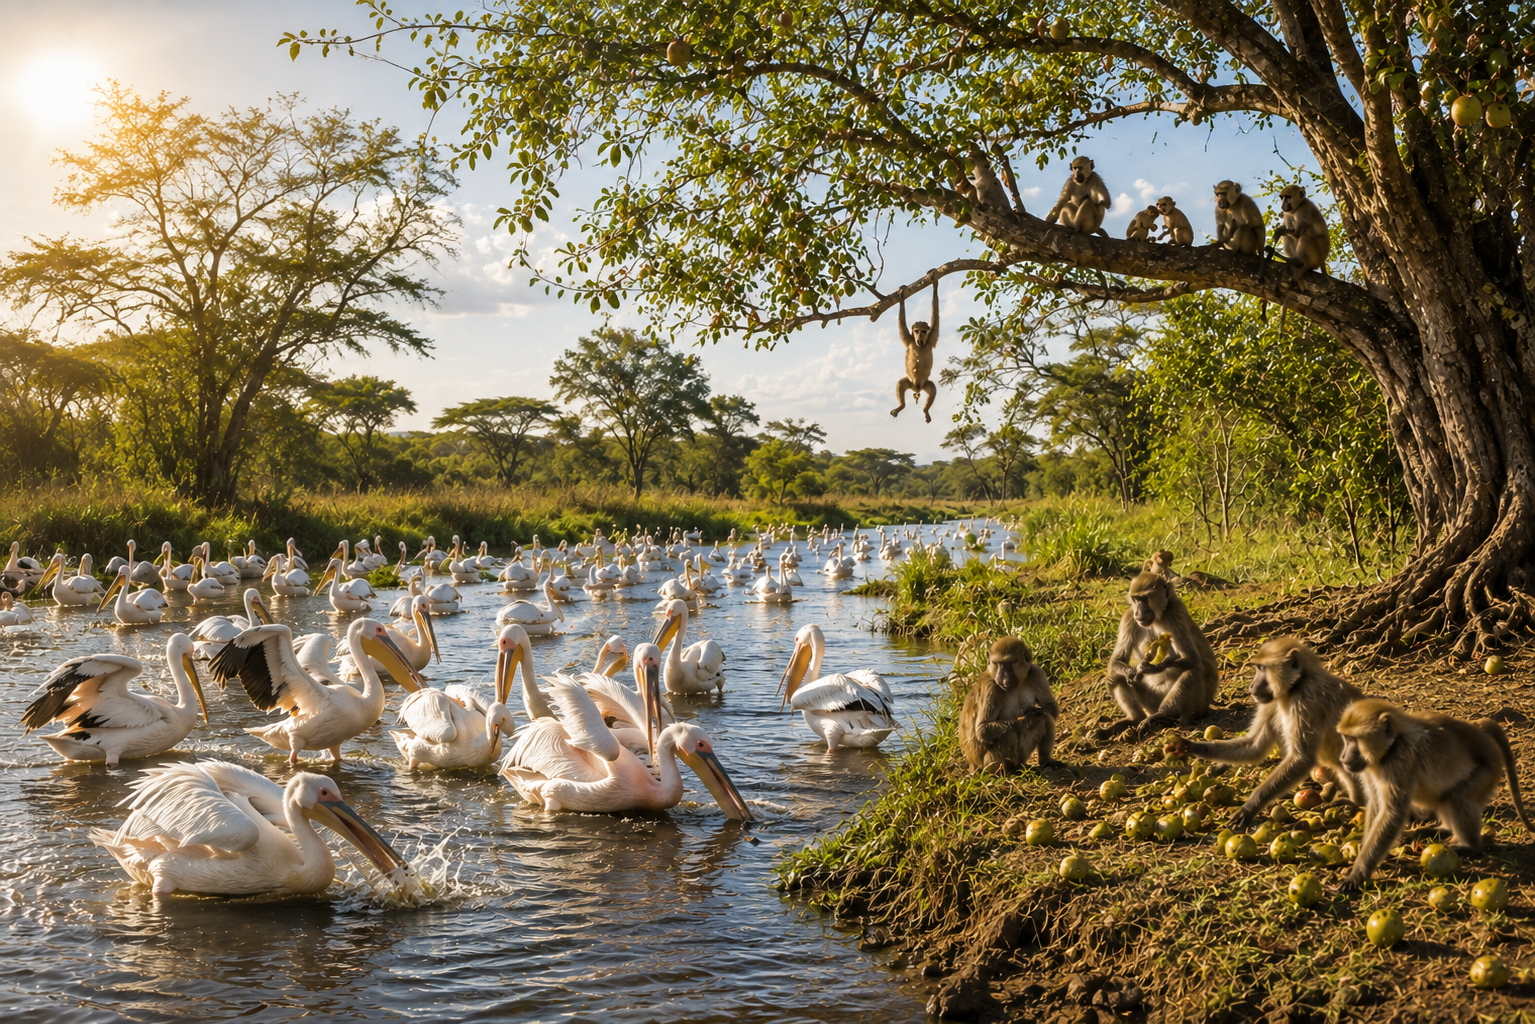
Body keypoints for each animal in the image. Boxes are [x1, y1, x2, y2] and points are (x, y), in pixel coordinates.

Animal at [891, 281, 939, 423]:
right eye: (916, 331)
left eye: (923, 331)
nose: (920, 336)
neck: (920, 345)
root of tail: (917, 388)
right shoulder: (909, 339)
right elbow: (901, 323)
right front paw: (901, 297)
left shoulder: (932, 337)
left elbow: (936, 315)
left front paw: (934, 285)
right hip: (909, 381)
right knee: (900, 384)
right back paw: (901, 406)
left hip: (925, 384)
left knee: (932, 389)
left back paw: (926, 411)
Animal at [960, 637, 1060, 772]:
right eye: (998, 663)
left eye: (1011, 662)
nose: (1004, 677)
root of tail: (973, 764)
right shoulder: (991, 687)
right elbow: (983, 729)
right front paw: (1029, 717)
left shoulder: (1036, 672)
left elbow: (1050, 708)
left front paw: (1034, 712)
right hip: (988, 765)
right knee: (1008, 734)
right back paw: (1005, 770)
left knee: (1046, 718)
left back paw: (1044, 761)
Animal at [1096, 573, 1219, 741]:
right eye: (1135, 599)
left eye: (1144, 599)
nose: (1138, 612)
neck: (1157, 618)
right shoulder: (1129, 618)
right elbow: (1118, 660)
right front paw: (1132, 672)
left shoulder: (1174, 614)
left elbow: (1192, 658)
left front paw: (1150, 668)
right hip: (1149, 703)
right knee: (1114, 677)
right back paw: (1135, 718)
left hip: (1199, 705)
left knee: (1195, 670)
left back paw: (1164, 715)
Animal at [1165, 638, 1365, 830]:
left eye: (1261, 668)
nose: (1252, 685)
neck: (1295, 688)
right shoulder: (1271, 702)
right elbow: (1254, 747)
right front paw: (1188, 747)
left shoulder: (1306, 702)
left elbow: (1302, 758)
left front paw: (1249, 808)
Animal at [1336, 697, 1535, 890]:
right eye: (1346, 739)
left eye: (1352, 740)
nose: (1343, 756)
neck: (1392, 746)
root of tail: (1479, 731)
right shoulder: (1368, 766)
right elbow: (1377, 804)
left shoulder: (1400, 759)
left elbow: (1393, 813)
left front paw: (1358, 874)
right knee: (1445, 797)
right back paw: (1442, 830)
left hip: (1490, 768)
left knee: (1457, 796)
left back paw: (1471, 846)